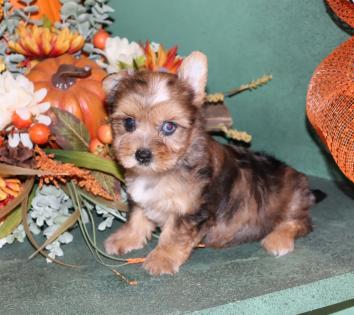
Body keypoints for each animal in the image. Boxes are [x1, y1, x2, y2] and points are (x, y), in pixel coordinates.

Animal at [101, 52, 318, 276]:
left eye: (169, 127)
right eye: (129, 123)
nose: (142, 155)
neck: (162, 172)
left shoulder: (192, 211)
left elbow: (174, 235)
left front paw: (162, 259)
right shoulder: (141, 199)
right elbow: (137, 217)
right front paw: (126, 238)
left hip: (293, 202)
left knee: (300, 223)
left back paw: (278, 240)